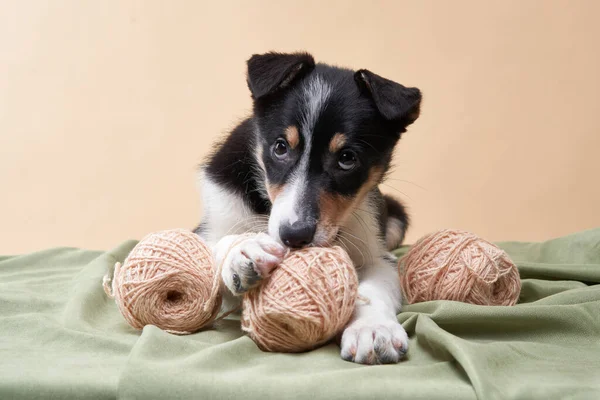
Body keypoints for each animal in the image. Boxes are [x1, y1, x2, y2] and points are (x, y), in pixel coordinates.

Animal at [195, 51, 420, 364]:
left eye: (347, 158)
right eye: (280, 147)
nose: (295, 236)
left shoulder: (378, 252)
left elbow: (375, 288)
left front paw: (373, 329)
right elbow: (212, 247)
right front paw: (244, 248)